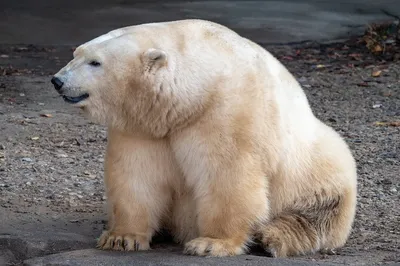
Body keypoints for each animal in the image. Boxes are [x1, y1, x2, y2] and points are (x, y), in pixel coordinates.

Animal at [51, 19, 358, 258]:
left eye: (95, 62)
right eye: (76, 53)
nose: (57, 80)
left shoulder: (226, 113)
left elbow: (227, 175)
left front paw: (211, 243)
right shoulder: (143, 126)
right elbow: (136, 174)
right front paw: (121, 237)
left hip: (319, 165)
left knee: (318, 209)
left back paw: (273, 236)